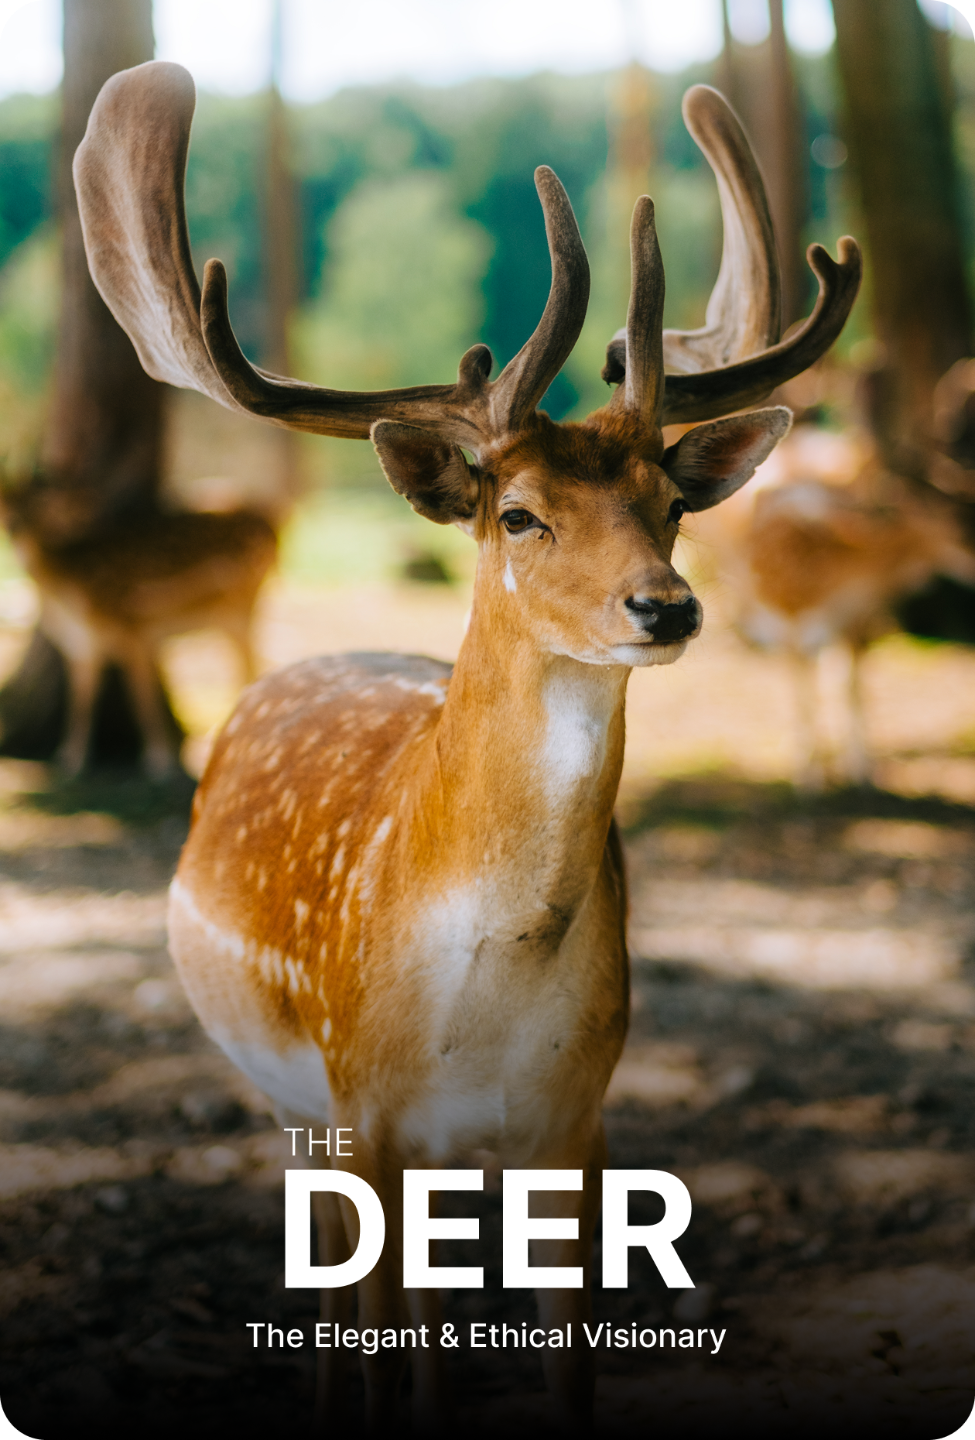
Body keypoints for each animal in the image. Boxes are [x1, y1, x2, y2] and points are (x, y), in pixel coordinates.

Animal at [1, 481, 277, 778]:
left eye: (36, 509)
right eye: (8, 506)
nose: (14, 526)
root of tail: (271, 529)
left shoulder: (132, 630)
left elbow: (141, 699)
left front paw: (159, 762)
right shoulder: (84, 646)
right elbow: (82, 698)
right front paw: (70, 759)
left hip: (241, 607)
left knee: (251, 669)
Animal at [74, 60, 860, 1432]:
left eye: (671, 505)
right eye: (521, 514)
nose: (666, 608)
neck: (481, 999)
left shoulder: (576, 1115)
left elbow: (558, 1361)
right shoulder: (364, 1101)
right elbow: (389, 1350)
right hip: (292, 1099)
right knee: (342, 1306)